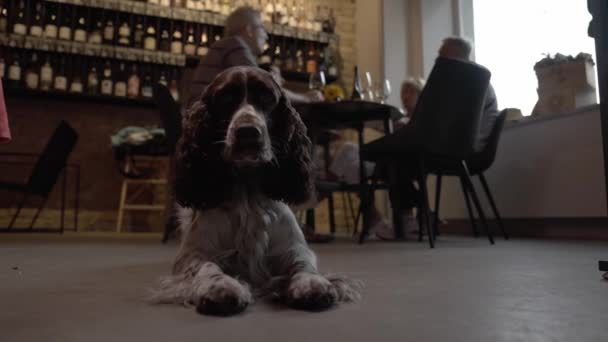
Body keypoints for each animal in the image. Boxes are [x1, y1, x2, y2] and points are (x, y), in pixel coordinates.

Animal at [151, 66, 360, 316]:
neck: (247, 191)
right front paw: (221, 287)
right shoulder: (191, 255)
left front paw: (312, 283)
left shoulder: (293, 247)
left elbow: (303, 263)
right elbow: (207, 266)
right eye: (225, 97)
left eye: (267, 97)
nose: (248, 132)